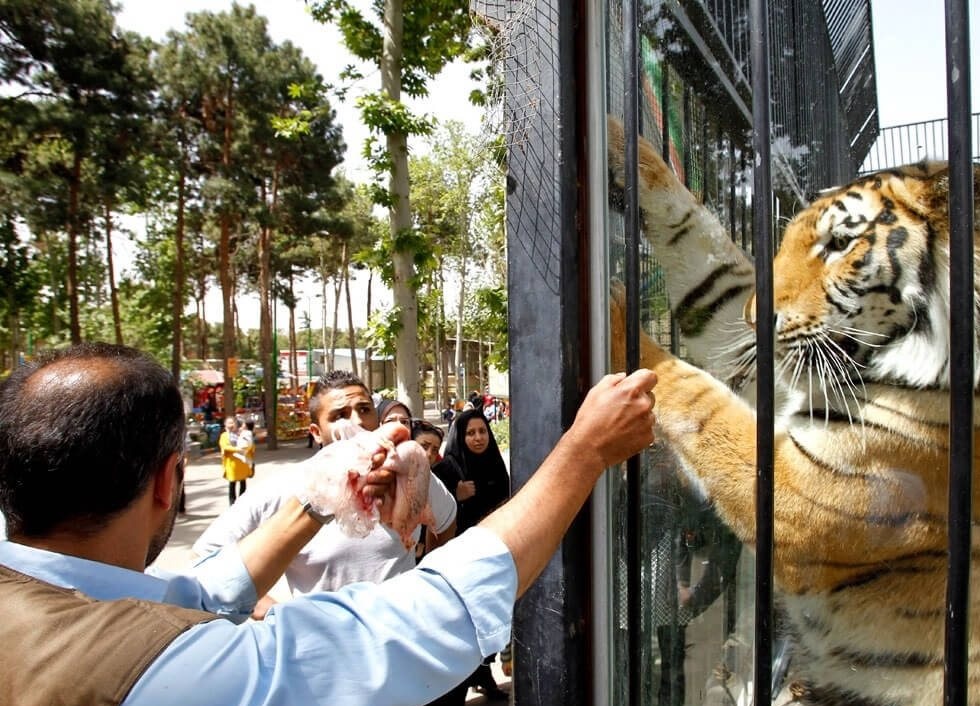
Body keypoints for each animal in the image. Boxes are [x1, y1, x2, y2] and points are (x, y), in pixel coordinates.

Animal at [608, 115, 980, 704]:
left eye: (840, 244)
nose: (754, 316)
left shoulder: (800, 494)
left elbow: (700, 401)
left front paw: (622, 323)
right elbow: (705, 255)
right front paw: (626, 147)